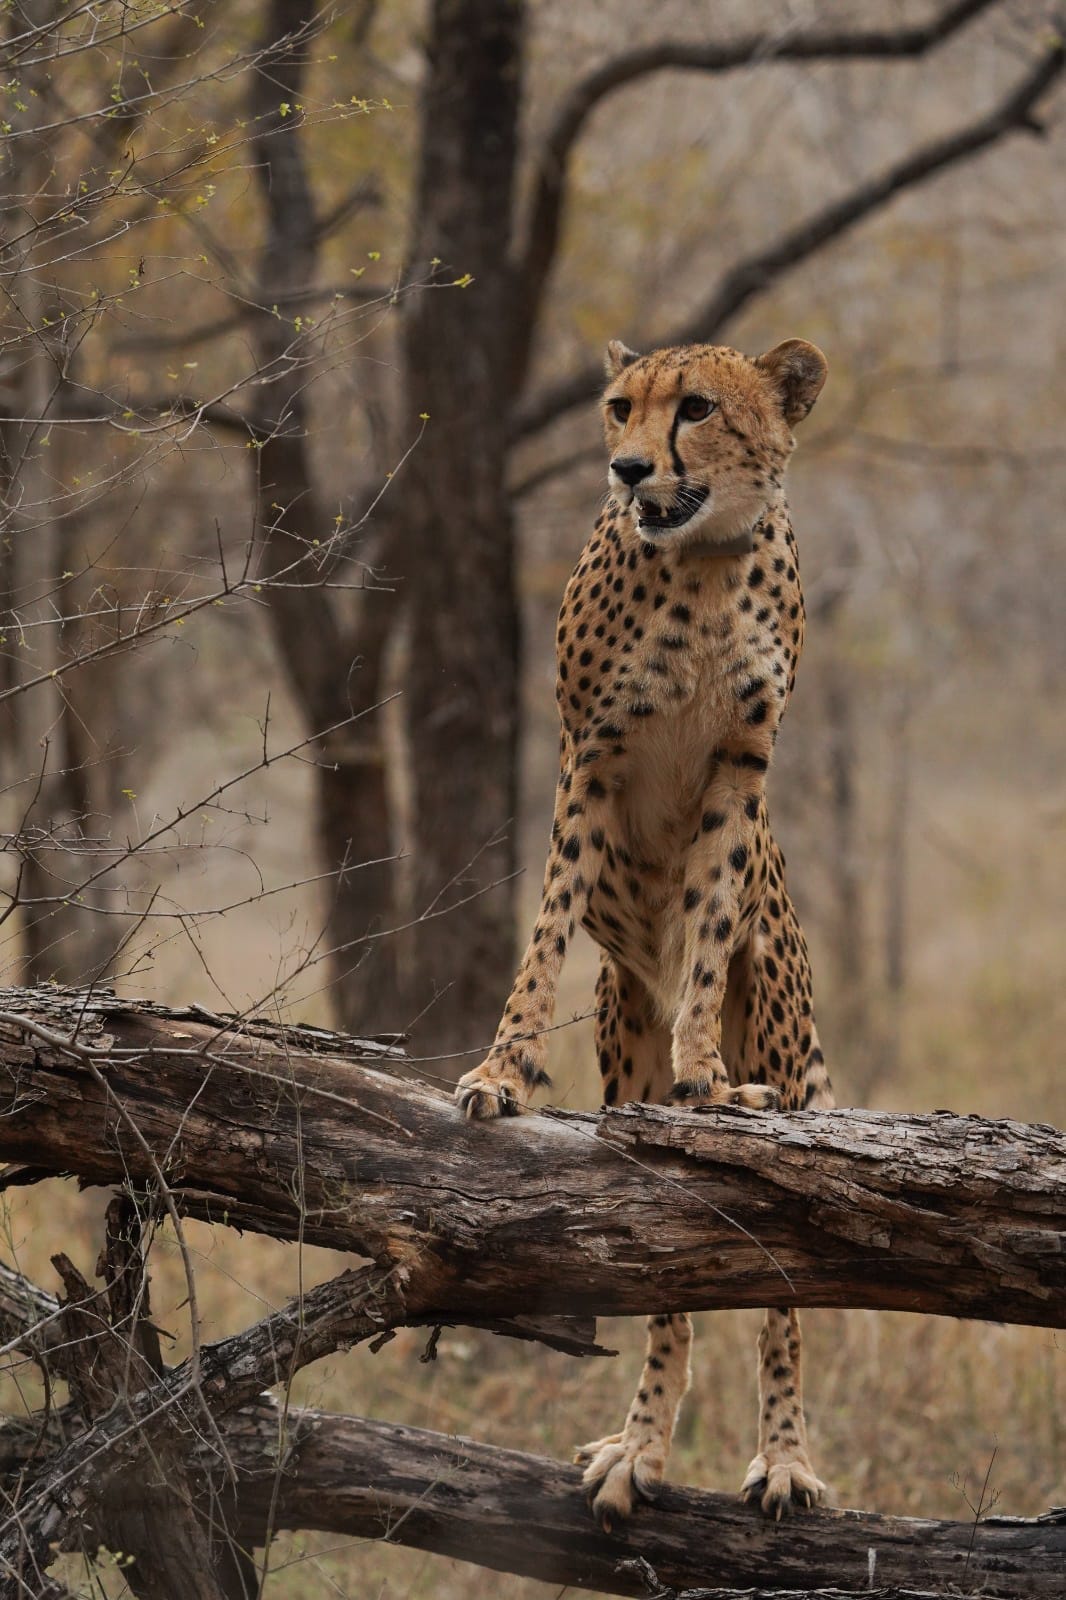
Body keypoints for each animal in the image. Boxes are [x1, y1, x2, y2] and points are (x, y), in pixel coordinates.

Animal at [456, 336, 834, 1529]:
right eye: (619, 407)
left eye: (698, 409)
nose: (627, 470)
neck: (704, 561)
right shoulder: (592, 755)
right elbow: (544, 929)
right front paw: (502, 1073)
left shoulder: (739, 770)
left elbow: (707, 929)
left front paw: (706, 1076)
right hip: (623, 1036)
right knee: (666, 1287)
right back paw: (640, 1448)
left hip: (790, 1040)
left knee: (785, 1300)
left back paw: (782, 1457)